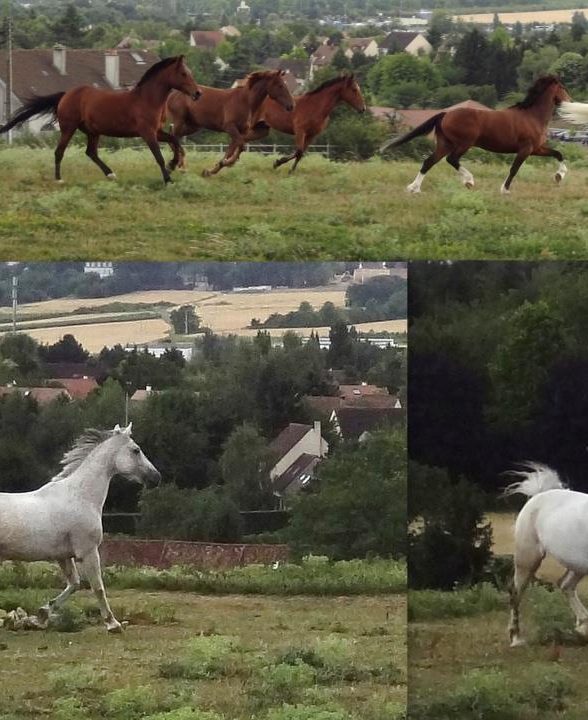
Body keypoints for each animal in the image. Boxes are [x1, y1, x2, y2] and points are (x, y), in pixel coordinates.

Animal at [0, 57, 201, 186]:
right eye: (183, 74)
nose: (198, 93)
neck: (147, 99)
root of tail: (66, 94)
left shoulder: (157, 132)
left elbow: (175, 141)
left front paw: (174, 164)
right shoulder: (147, 133)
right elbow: (158, 156)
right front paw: (168, 178)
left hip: (93, 132)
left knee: (91, 152)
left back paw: (110, 174)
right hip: (68, 128)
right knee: (59, 151)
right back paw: (59, 179)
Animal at [0, 424, 160, 632]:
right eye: (136, 450)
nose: (156, 478)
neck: (80, 496)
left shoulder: (64, 556)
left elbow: (74, 584)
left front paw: (42, 616)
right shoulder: (89, 552)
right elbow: (98, 587)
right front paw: (113, 624)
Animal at [164, 69, 294, 177]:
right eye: (280, 85)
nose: (291, 105)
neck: (245, 101)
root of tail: (172, 94)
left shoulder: (241, 131)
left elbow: (232, 149)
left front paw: (212, 169)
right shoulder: (230, 127)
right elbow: (240, 146)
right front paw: (226, 163)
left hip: (194, 125)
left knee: (172, 135)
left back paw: (179, 164)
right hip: (180, 120)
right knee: (173, 136)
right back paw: (176, 164)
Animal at [384, 76, 572, 194]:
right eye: (562, 87)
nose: (569, 101)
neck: (532, 116)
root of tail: (445, 114)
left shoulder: (536, 149)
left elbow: (558, 154)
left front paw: (559, 176)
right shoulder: (525, 149)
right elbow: (514, 169)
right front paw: (505, 190)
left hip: (445, 144)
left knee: (429, 162)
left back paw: (414, 188)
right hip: (463, 144)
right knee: (452, 159)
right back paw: (469, 181)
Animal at [504, 464, 588, 648]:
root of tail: (539, 494)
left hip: (577, 565)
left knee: (565, 585)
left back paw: (583, 627)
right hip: (527, 558)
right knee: (516, 593)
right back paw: (516, 638)